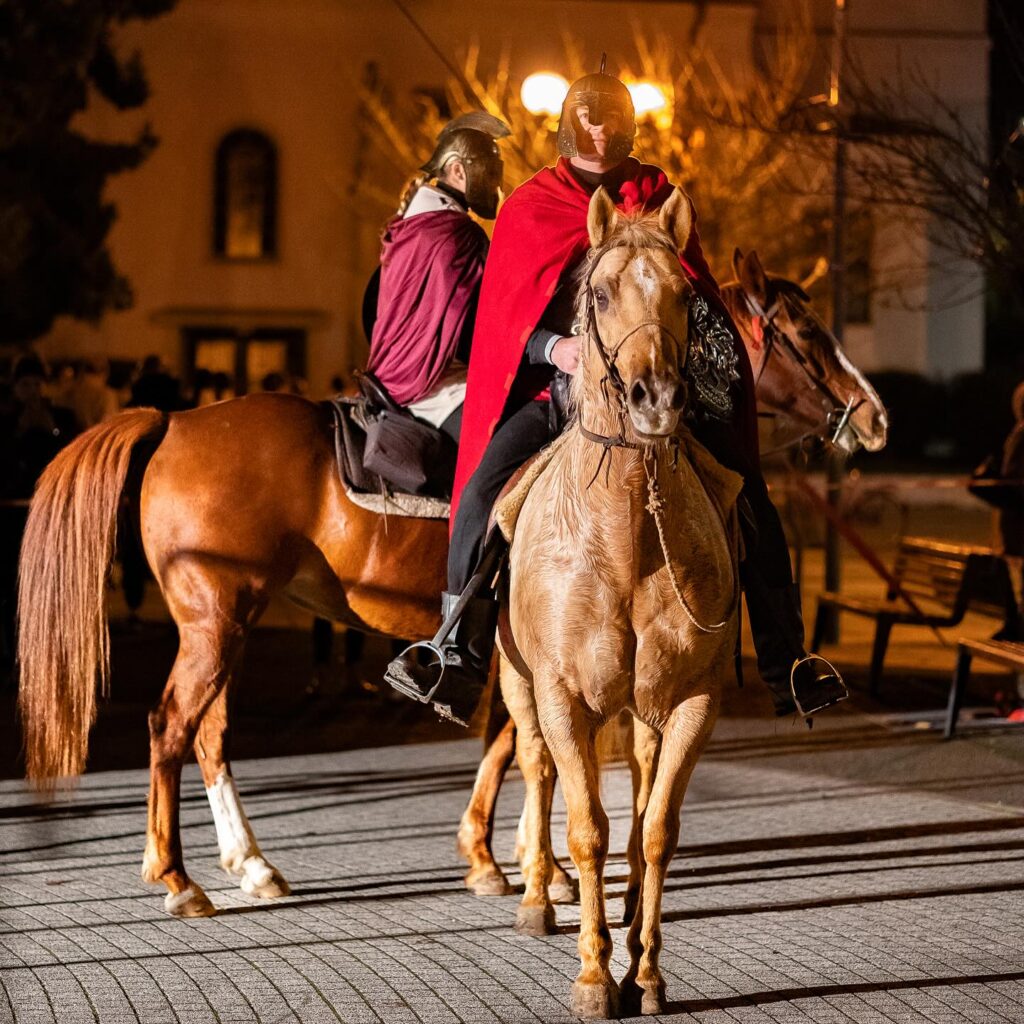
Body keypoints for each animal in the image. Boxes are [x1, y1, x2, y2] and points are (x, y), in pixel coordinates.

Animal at [456, 247, 888, 905]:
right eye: (810, 332)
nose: (875, 415)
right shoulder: (545, 672)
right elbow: (543, 757)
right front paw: (528, 866)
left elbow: (639, 775)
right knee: (533, 750)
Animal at [499, 190, 741, 1015]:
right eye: (600, 294)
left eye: (685, 295)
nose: (657, 399)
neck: (626, 537)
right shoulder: (562, 697)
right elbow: (587, 829)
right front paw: (593, 976)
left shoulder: (694, 699)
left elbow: (656, 828)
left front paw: (648, 973)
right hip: (518, 686)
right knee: (536, 769)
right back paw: (536, 896)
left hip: (642, 706)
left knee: (637, 787)